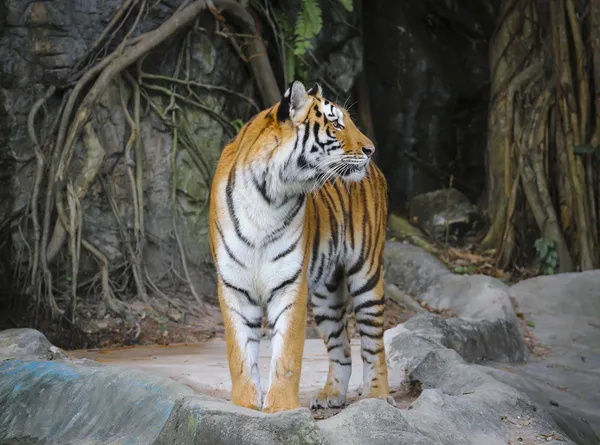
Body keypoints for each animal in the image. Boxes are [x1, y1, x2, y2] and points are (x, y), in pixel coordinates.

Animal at [209, 80, 392, 412]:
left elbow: (287, 355)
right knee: (342, 346)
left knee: (374, 343)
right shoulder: (234, 286)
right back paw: (331, 394)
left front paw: (280, 408)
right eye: (336, 123)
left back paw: (377, 396)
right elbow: (240, 355)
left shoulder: (289, 284)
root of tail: (377, 171)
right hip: (327, 293)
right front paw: (244, 407)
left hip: (367, 273)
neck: (267, 195)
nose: (371, 150)